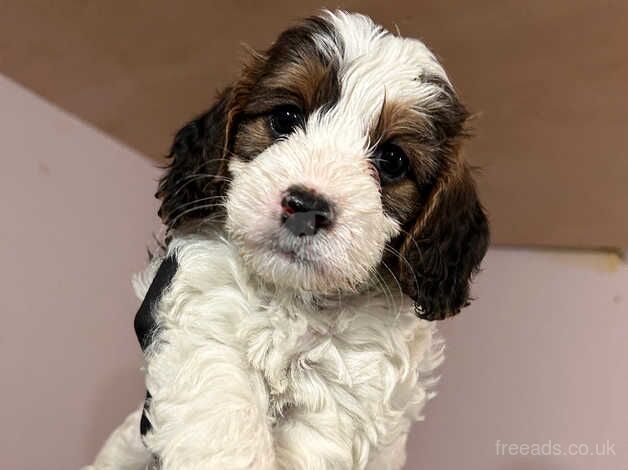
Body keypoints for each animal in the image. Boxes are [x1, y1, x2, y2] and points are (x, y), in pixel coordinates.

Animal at [87, 10, 490, 470]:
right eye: (285, 118)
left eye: (392, 160)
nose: (307, 206)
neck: (293, 297)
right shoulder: (206, 313)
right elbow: (224, 415)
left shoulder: (346, 386)